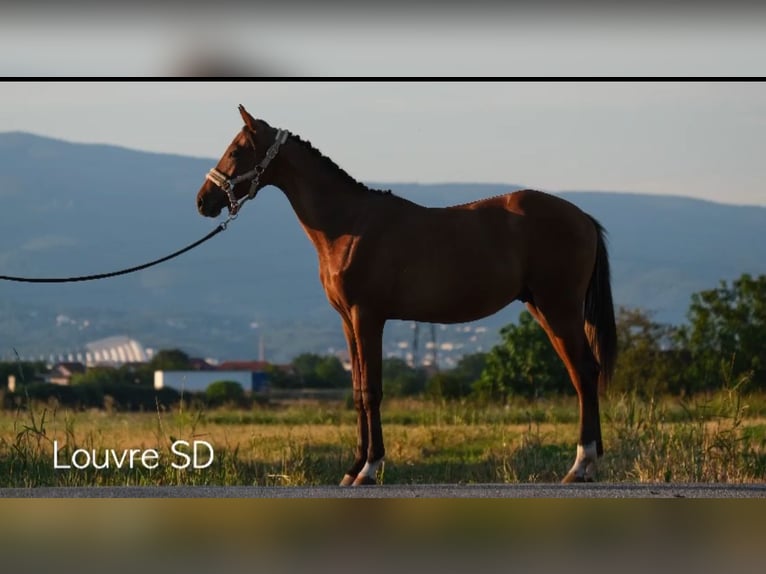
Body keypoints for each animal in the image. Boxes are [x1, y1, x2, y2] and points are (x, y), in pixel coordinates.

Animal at [196, 106, 616, 484]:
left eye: (237, 150)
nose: (203, 201)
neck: (349, 225)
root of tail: (583, 218)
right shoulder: (348, 321)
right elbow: (357, 391)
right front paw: (352, 468)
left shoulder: (368, 316)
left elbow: (372, 391)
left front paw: (369, 469)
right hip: (543, 307)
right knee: (582, 373)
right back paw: (587, 464)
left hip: (558, 308)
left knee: (584, 372)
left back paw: (581, 465)